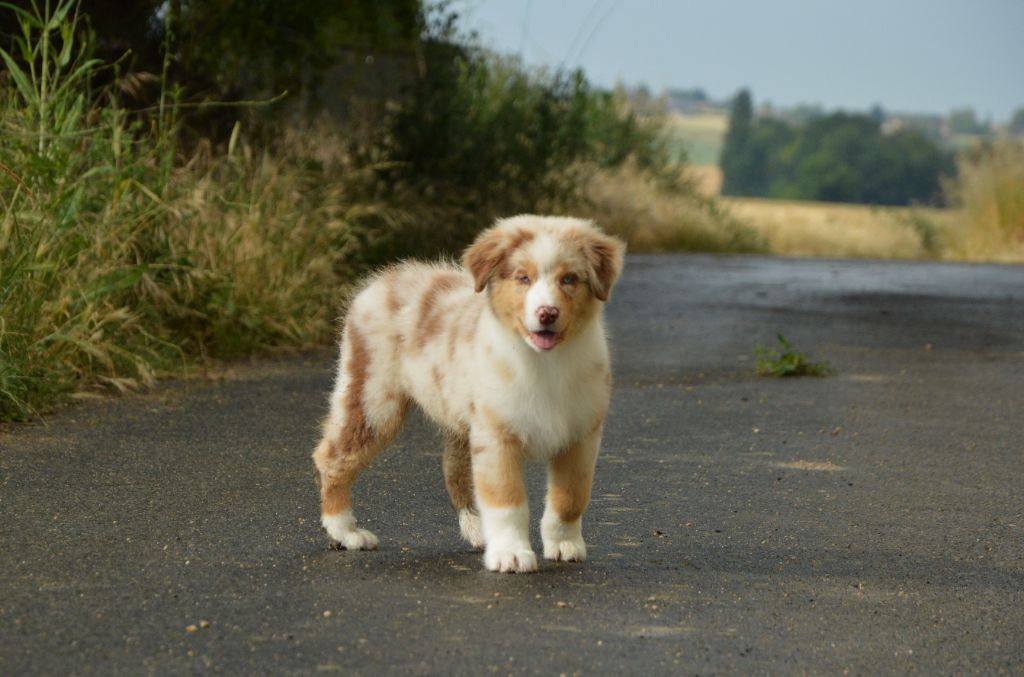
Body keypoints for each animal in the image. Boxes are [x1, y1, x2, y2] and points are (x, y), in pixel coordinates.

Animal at [312, 215, 625, 572]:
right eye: (523, 277)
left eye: (569, 279)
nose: (547, 313)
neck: (543, 363)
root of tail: (383, 279)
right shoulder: (496, 435)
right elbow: (506, 500)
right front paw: (511, 554)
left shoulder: (581, 436)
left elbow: (570, 498)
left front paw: (563, 544)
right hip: (373, 398)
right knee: (330, 457)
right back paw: (345, 532)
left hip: (455, 413)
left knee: (454, 470)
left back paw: (477, 530)